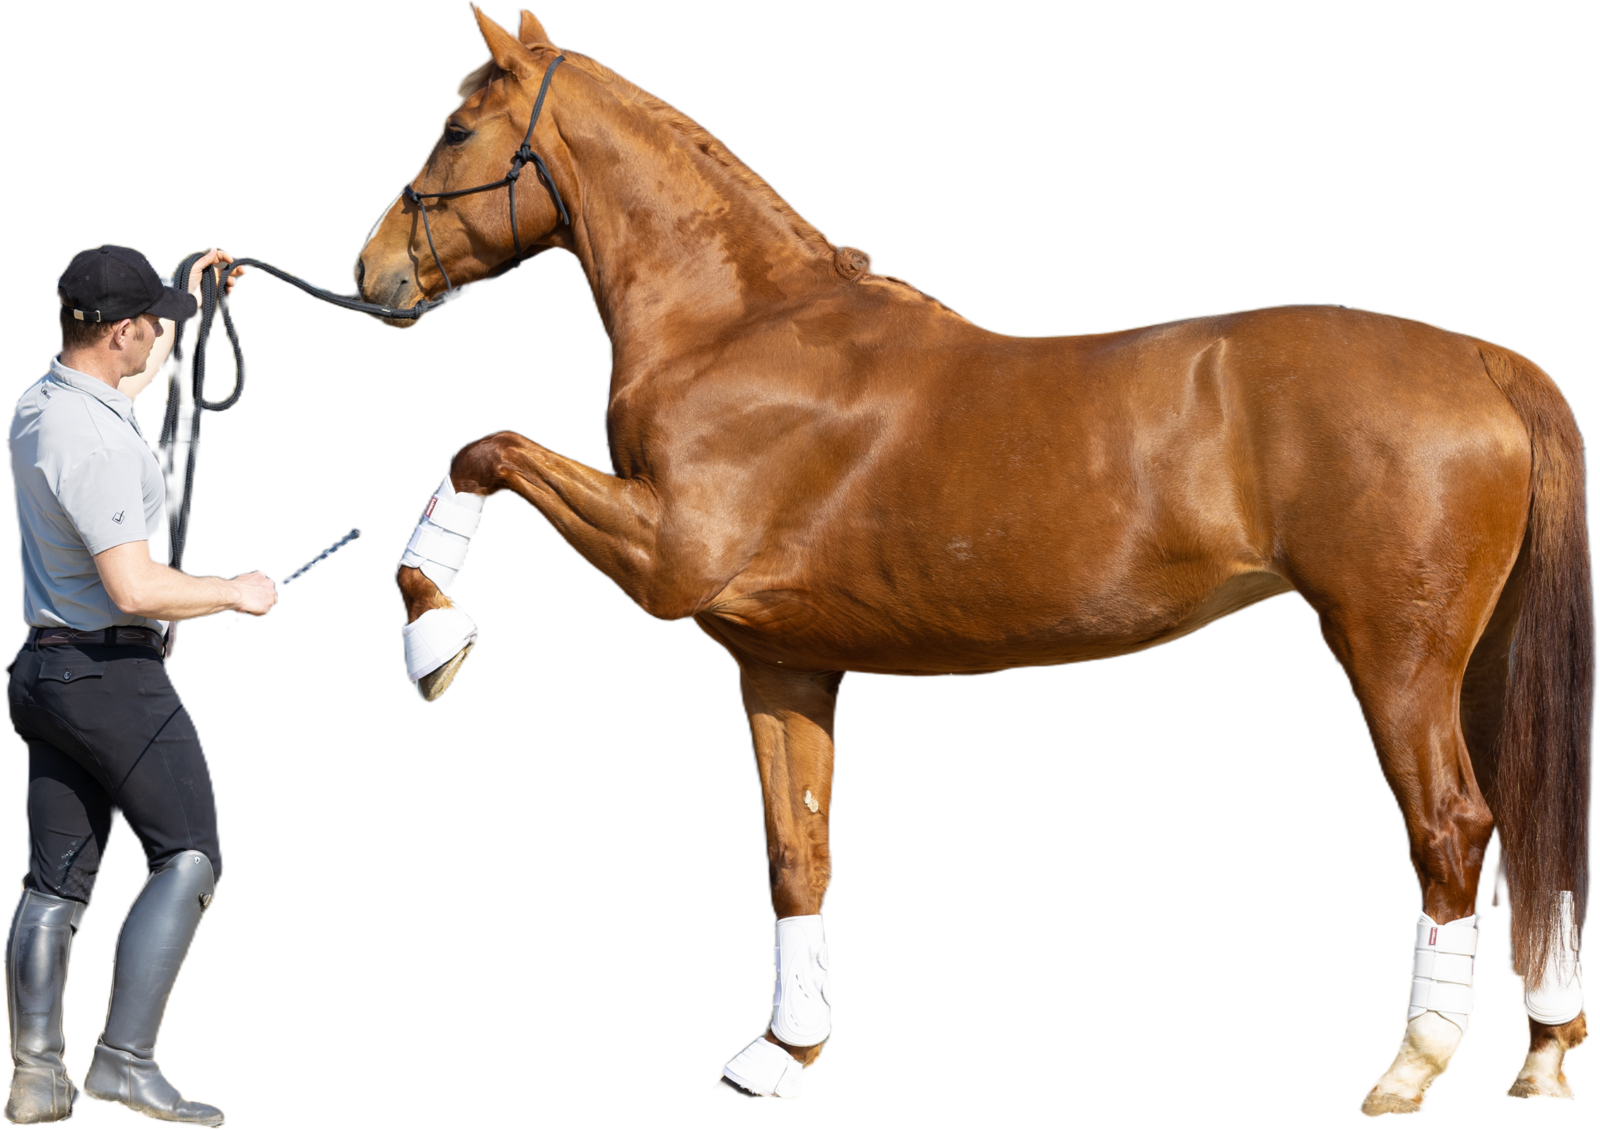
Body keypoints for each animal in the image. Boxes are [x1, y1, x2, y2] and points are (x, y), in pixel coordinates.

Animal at [354, 6, 1593, 1116]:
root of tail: (1484, 363)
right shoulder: (782, 659)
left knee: (1452, 826)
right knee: (1537, 822)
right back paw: (1540, 1057)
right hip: (1483, 661)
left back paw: (1411, 1068)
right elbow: (798, 848)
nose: (371, 272)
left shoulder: (669, 552)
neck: (742, 330)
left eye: (457, 129)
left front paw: (434, 634)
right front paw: (780, 1055)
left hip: (1395, 651)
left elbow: (484, 448)